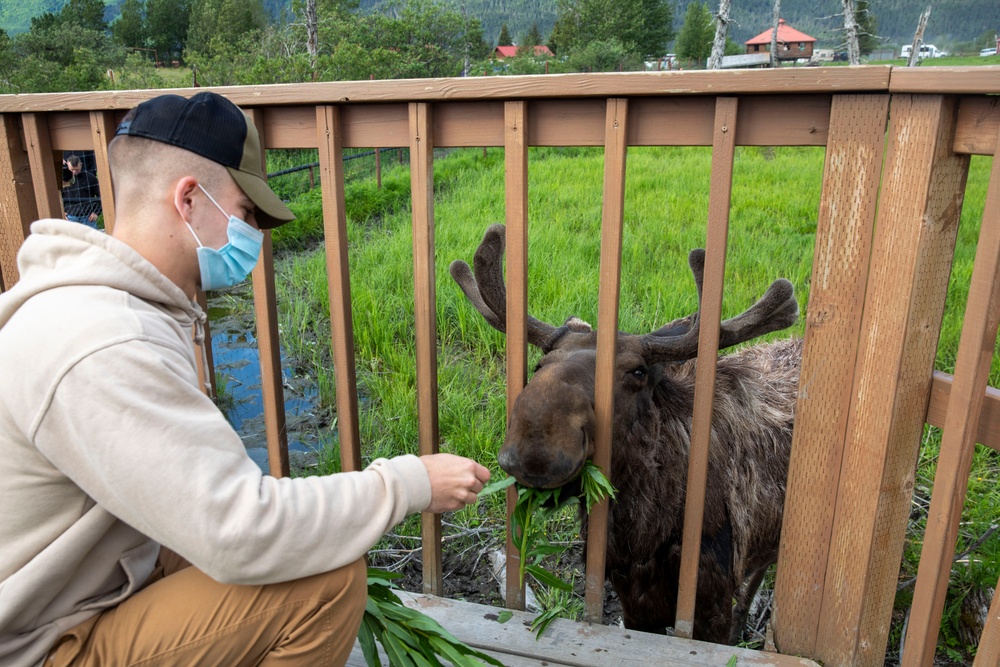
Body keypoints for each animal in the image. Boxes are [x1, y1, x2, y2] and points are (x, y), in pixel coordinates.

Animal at [454, 226, 804, 648]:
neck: (642, 537)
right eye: (540, 363)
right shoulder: (633, 600)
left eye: (637, 372)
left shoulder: (710, 602)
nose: (536, 446)